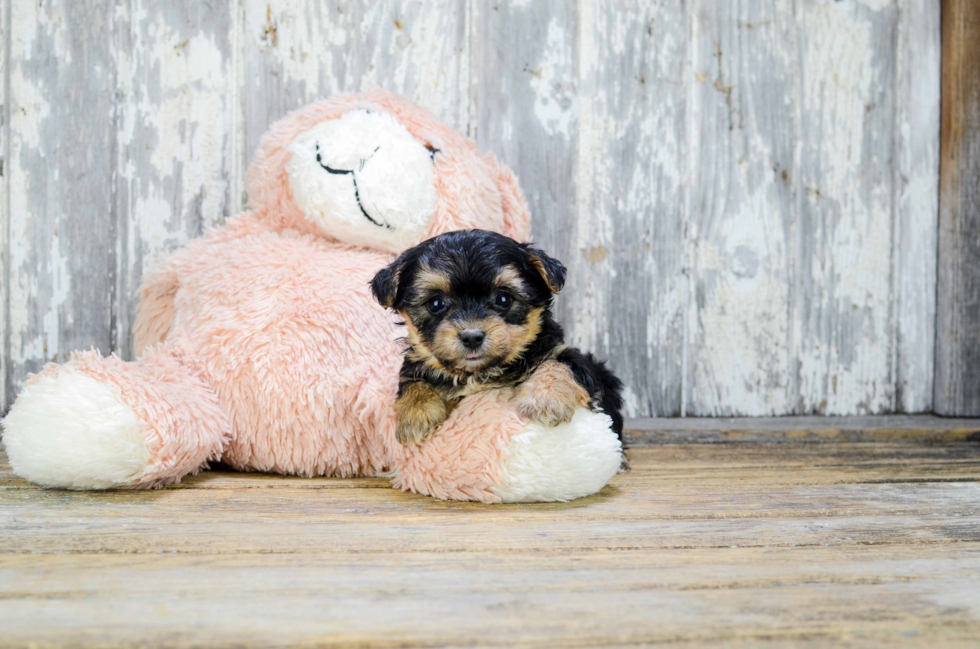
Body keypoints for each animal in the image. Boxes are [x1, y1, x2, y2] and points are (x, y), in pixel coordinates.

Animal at [372, 230, 624, 448]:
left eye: (503, 299)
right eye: (436, 303)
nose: (472, 337)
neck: (480, 372)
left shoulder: (564, 353)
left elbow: (559, 363)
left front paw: (546, 399)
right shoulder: (418, 365)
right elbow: (413, 380)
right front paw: (415, 415)